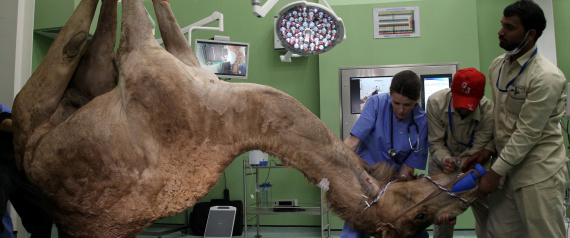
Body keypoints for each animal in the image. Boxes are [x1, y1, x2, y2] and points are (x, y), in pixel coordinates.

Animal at [12, 0, 474, 237]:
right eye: (420, 214)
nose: (471, 179)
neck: (235, 116)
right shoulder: (181, 63)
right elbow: (168, 20)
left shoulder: (146, 61)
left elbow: (141, 21)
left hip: (35, 118)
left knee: (71, 45)